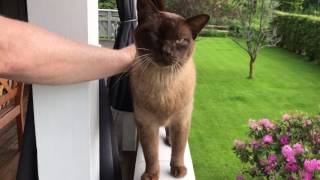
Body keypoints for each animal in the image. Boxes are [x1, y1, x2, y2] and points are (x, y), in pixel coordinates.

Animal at [130, 0, 210, 179]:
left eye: (180, 40)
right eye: (155, 35)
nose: (165, 51)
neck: (163, 82)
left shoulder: (182, 121)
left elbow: (179, 149)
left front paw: (177, 169)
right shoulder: (146, 125)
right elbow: (151, 154)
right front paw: (151, 174)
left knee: (172, 134)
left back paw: (170, 140)